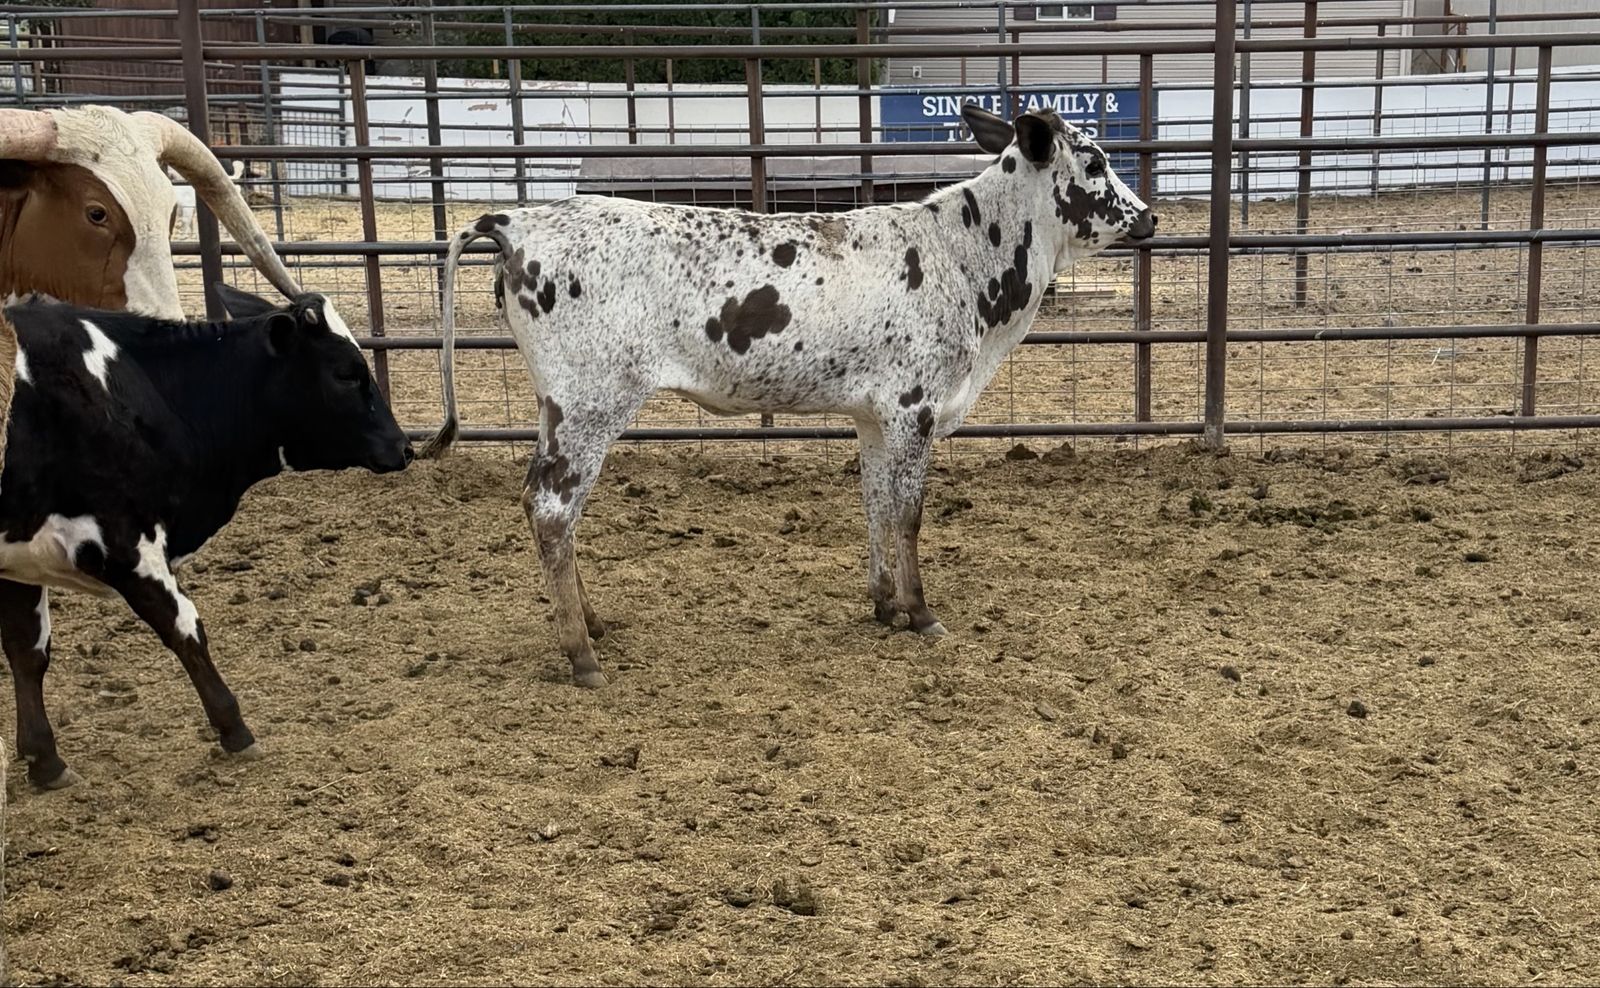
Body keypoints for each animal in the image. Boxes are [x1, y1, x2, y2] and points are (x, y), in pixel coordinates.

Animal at [0, 285, 411, 789]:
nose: (403, 447)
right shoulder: (124, 542)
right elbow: (186, 629)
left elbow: (27, 649)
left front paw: (45, 759)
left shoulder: (18, 557)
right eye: (347, 373)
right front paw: (235, 729)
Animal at [420, 104, 1156, 688]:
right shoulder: (913, 407)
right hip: (591, 403)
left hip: (557, 407)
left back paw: (593, 624)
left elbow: (875, 505)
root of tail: (518, 222)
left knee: (548, 508)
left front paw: (885, 605)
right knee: (552, 508)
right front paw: (921, 613)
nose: (1149, 216)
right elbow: (909, 514)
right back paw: (581, 654)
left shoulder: (873, 417)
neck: (964, 256)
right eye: (1095, 160)